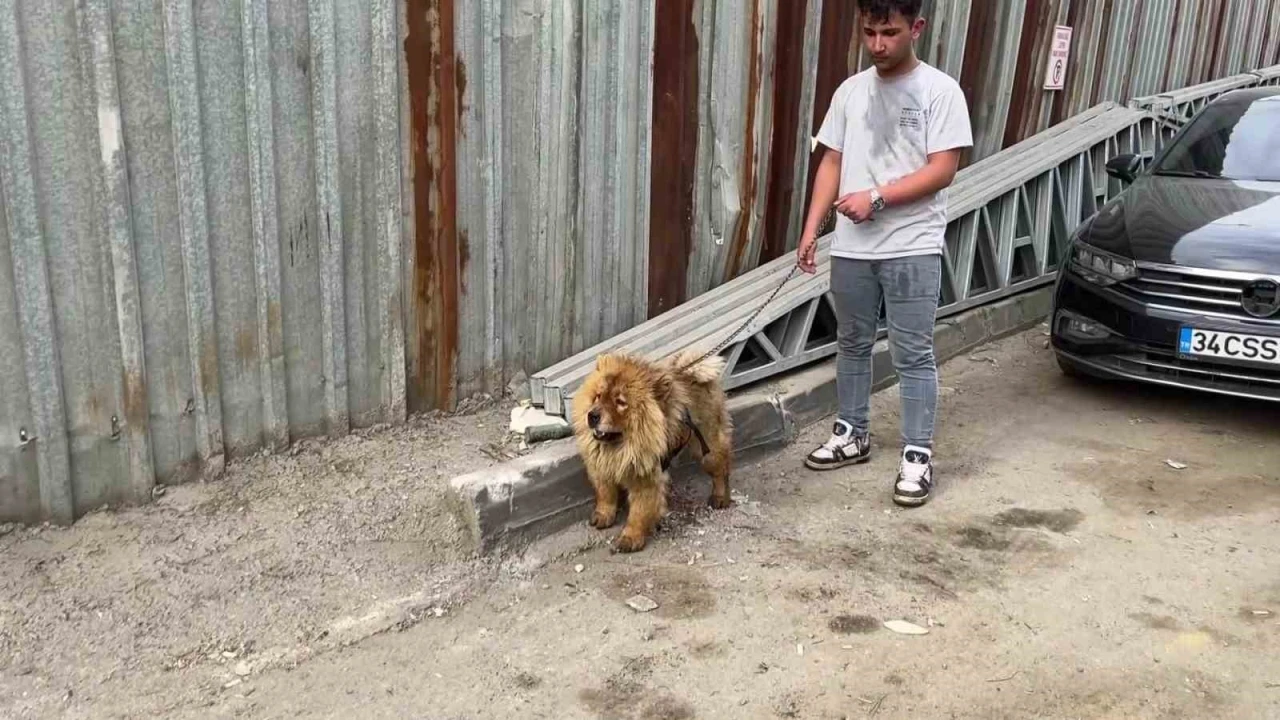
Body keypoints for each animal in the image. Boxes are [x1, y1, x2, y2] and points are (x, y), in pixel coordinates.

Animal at [570, 348, 732, 548]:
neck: (621, 447)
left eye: (620, 402)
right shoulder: (602, 468)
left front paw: (630, 538)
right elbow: (605, 494)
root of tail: (694, 373)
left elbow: (640, 510)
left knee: (721, 470)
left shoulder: (644, 478)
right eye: (598, 396)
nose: (592, 415)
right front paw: (603, 516)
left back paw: (720, 498)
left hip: (706, 448)